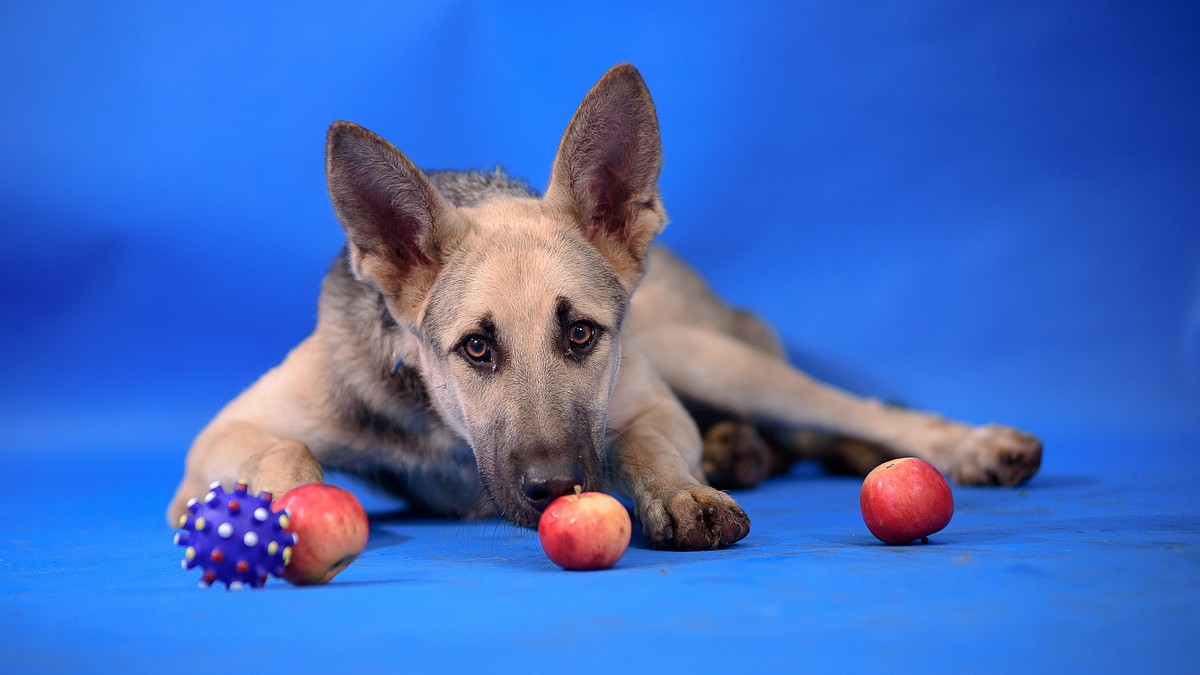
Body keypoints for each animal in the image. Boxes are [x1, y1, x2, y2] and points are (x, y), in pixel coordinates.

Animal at [166, 61, 1041, 547]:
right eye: (475, 347)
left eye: (582, 334)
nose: (556, 488)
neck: (444, 428)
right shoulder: (221, 438)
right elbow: (288, 451)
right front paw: (289, 508)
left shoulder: (649, 403)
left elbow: (642, 443)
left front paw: (683, 491)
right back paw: (742, 449)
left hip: (708, 357)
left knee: (859, 410)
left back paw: (967, 444)